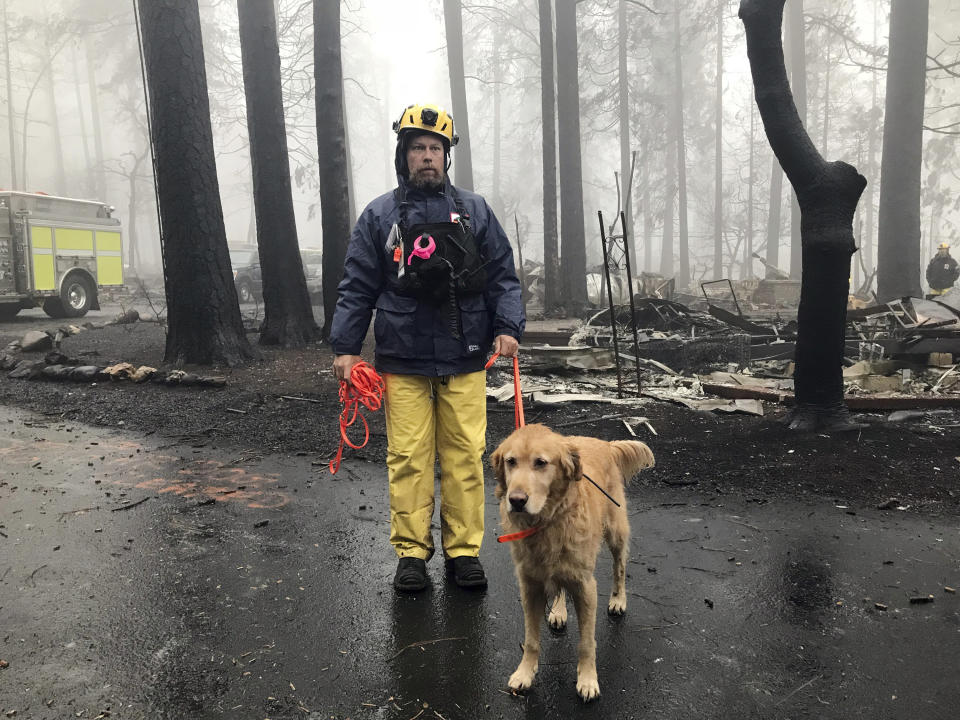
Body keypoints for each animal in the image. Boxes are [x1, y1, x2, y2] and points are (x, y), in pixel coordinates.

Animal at [492, 424, 656, 700]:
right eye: (510, 461)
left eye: (541, 463)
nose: (516, 500)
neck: (548, 521)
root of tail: (606, 444)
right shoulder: (530, 586)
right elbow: (531, 639)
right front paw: (525, 673)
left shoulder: (585, 586)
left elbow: (586, 642)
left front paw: (588, 680)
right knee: (559, 587)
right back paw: (558, 611)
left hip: (616, 531)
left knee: (620, 567)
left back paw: (618, 600)